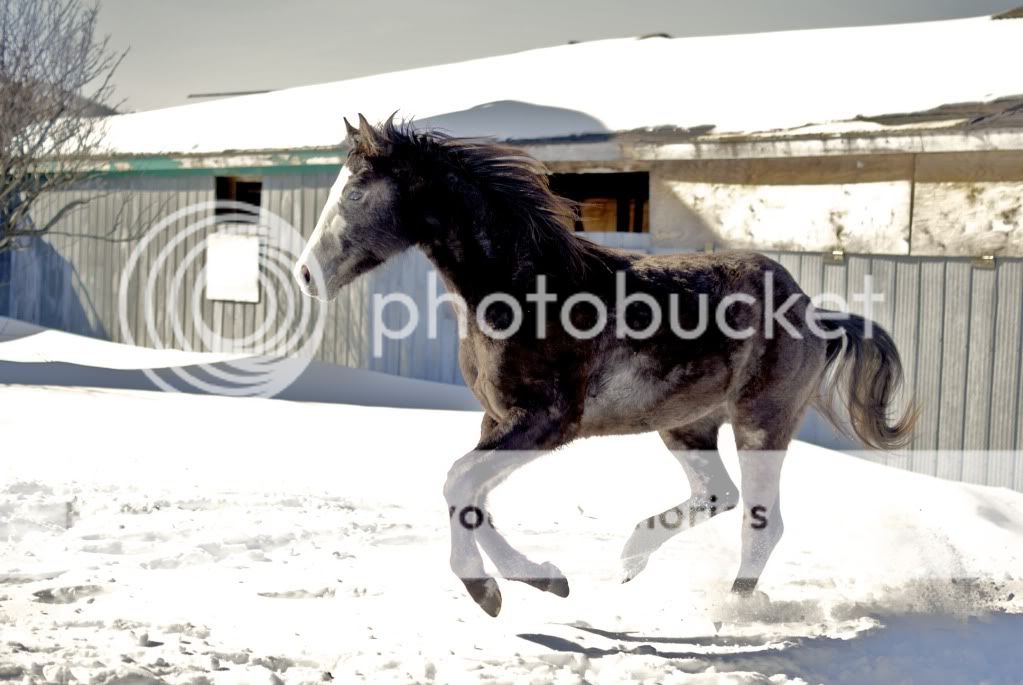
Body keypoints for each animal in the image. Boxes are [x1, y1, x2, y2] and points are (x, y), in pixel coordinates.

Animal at [292, 115, 916, 621]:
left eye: (355, 192)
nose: (305, 274)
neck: (527, 289)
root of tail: (815, 312)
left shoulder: (546, 422)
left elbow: (458, 482)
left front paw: (489, 591)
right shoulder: (497, 420)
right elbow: (468, 495)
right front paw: (542, 581)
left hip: (761, 422)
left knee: (763, 521)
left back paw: (733, 608)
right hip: (688, 425)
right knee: (720, 496)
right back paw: (631, 558)